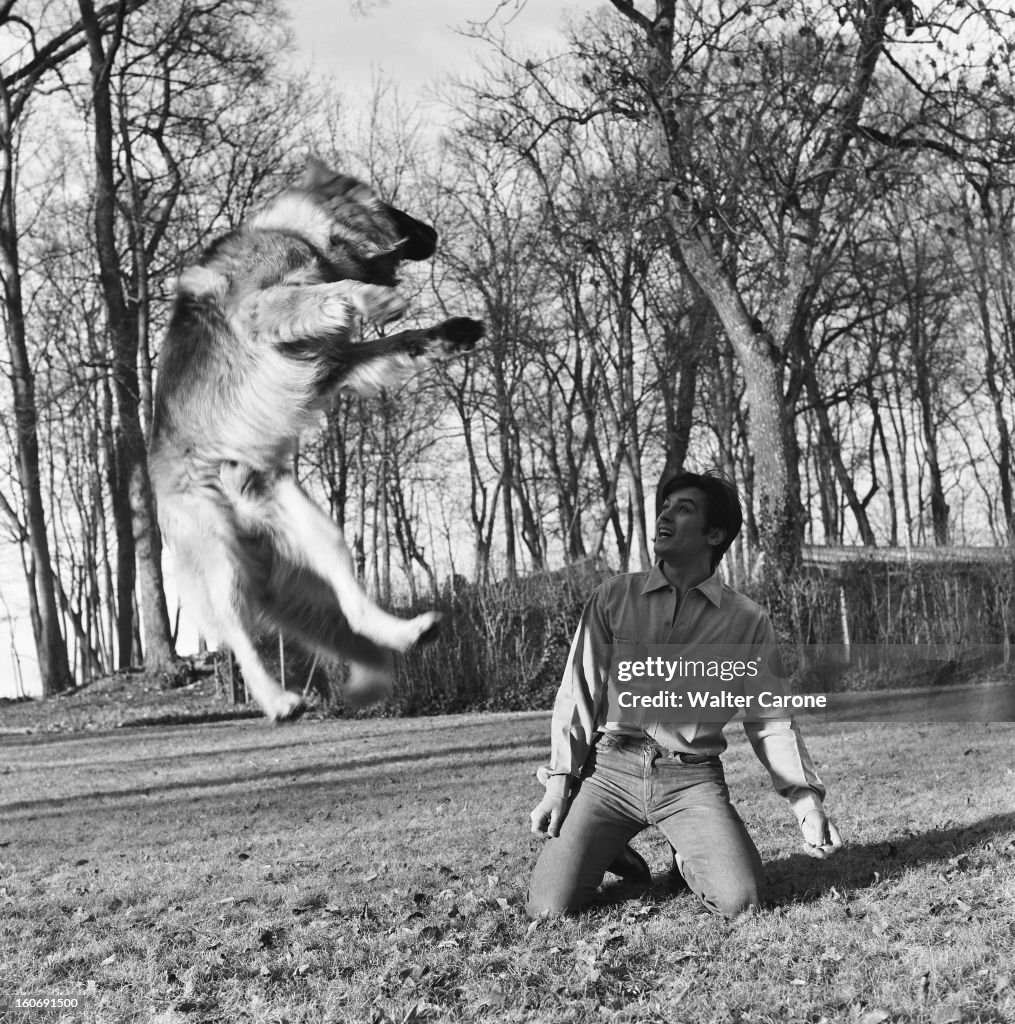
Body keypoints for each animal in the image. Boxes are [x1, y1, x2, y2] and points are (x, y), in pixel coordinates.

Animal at [148, 157, 485, 720]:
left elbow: (392, 339)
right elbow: (333, 290)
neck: (301, 234)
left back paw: (405, 632)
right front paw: (376, 298)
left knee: (349, 603)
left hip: (315, 530)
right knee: (238, 635)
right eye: (392, 207)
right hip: (220, 559)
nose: (434, 232)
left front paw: (448, 332)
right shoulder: (262, 308)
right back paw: (277, 699)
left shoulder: (335, 363)